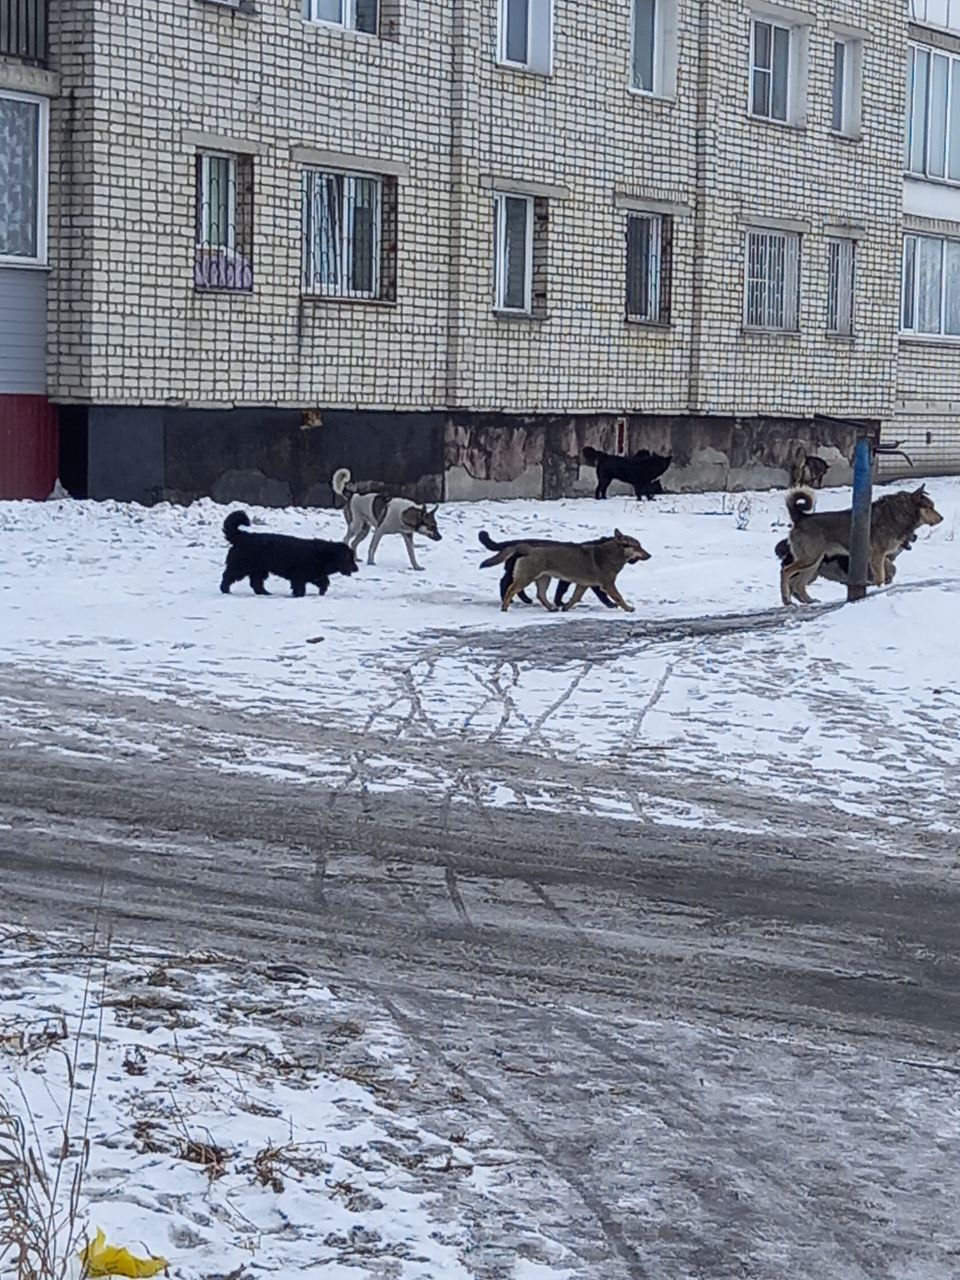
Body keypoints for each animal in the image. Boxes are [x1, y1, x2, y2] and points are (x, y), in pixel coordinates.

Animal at [220, 509, 358, 599]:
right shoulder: (299, 575)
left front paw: (322, 592)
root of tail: (242, 536)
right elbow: (300, 587)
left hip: (259, 570)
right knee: (228, 576)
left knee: (256, 583)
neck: (324, 555)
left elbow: (324, 582)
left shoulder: (315, 574)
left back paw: (265, 593)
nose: (356, 569)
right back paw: (225, 590)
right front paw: (299, 595)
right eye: (350, 559)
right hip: (240, 567)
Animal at [499, 527, 650, 611]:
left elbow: (575, 597)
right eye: (637, 546)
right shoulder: (608, 584)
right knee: (510, 589)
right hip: (526, 577)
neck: (611, 554)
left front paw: (565, 607)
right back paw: (504, 607)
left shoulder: (583, 585)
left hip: (544, 578)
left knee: (540, 594)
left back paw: (551, 608)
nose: (650, 555)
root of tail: (528, 548)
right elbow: (619, 597)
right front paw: (628, 608)